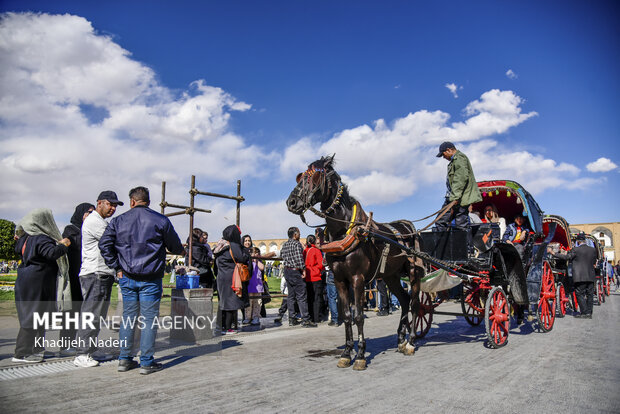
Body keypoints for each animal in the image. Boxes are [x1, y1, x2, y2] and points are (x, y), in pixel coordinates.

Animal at [286, 154, 426, 368]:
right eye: (300, 177)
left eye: (313, 177)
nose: (291, 202)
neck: (344, 230)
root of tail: (408, 226)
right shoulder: (339, 280)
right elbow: (346, 316)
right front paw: (346, 352)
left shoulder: (357, 279)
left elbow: (359, 316)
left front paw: (360, 355)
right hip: (391, 276)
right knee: (403, 299)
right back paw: (400, 339)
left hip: (413, 272)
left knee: (415, 303)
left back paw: (410, 341)